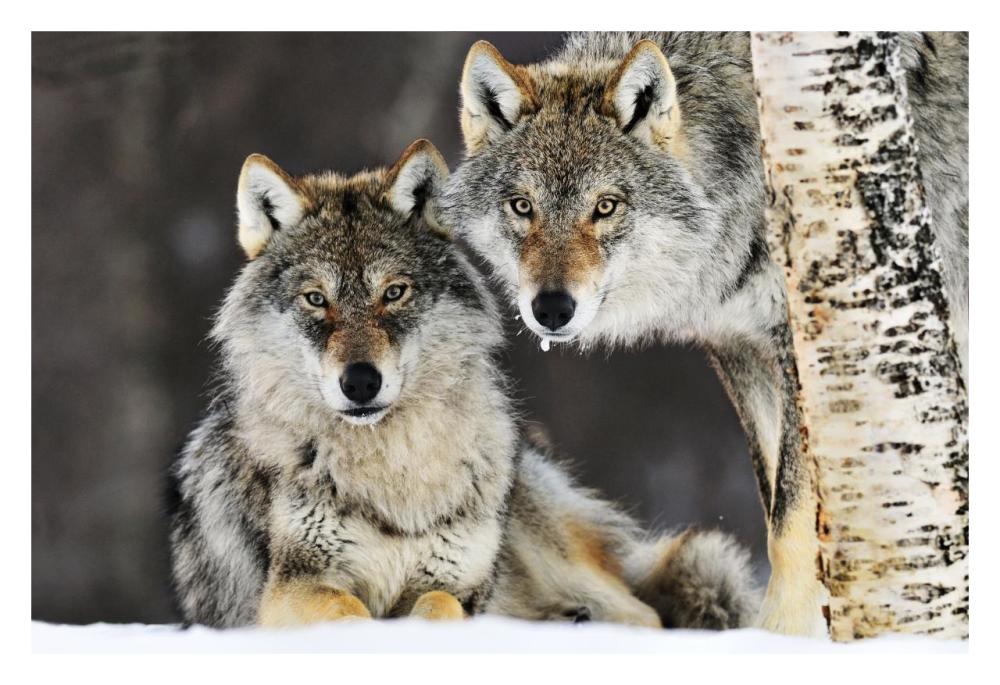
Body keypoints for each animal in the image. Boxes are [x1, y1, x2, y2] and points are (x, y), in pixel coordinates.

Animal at [167, 139, 759, 629]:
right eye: (316, 300)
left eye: (395, 292)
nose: (360, 382)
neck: (394, 469)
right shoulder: (292, 589)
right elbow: (348, 610)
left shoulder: (455, 582)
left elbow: (438, 606)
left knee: (647, 615)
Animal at [441, 32, 968, 636]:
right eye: (522, 206)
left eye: (606, 207)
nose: (551, 308)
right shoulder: (741, 347)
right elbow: (773, 503)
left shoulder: (799, 347)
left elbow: (790, 523)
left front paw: (780, 638)